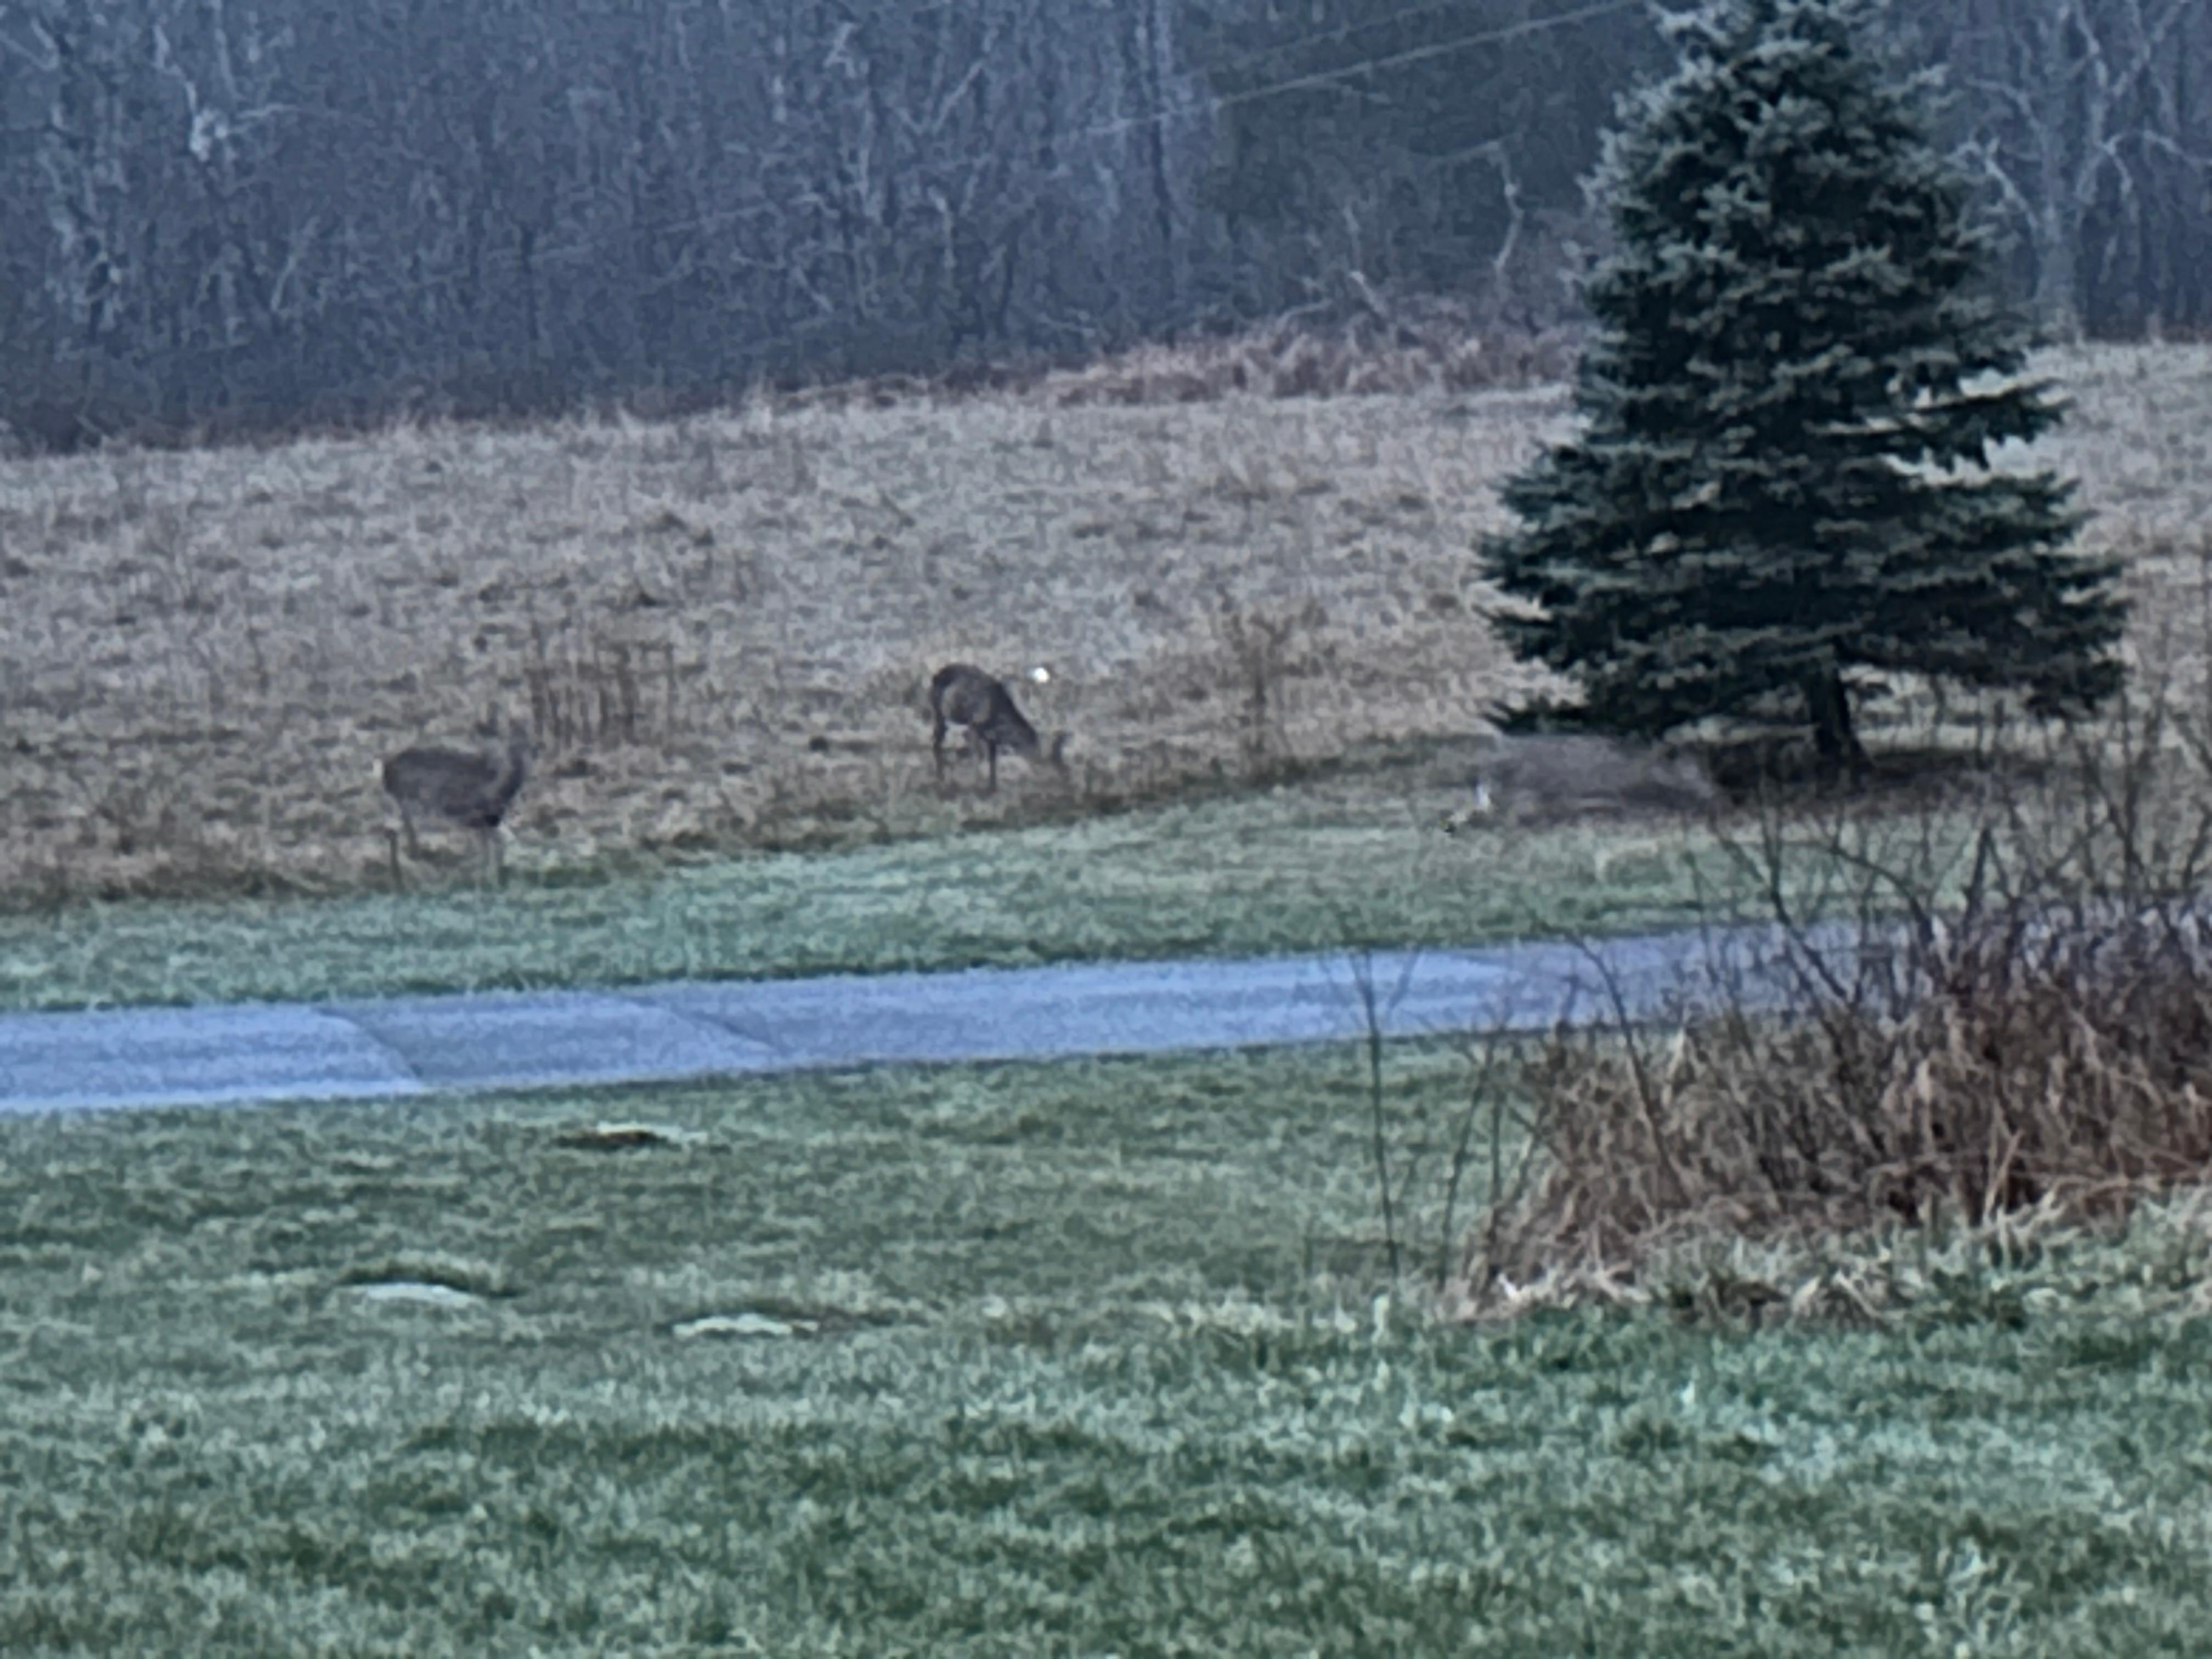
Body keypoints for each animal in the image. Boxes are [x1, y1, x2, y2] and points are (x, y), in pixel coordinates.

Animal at [380, 714, 534, 886]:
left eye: (525, 735)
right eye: (508, 741)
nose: (528, 751)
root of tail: (387, 771)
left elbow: (493, 849)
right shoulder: (472, 817)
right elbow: (488, 852)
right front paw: (487, 880)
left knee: (397, 831)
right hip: (415, 804)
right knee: (400, 832)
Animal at [928, 663, 1068, 793]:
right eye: (1053, 761)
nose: (1063, 780)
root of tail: (937, 677)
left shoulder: (990, 738)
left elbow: (992, 760)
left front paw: (992, 788)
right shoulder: (973, 728)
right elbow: (978, 756)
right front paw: (976, 784)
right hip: (942, 716)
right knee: (937, 743)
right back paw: (941, 780)